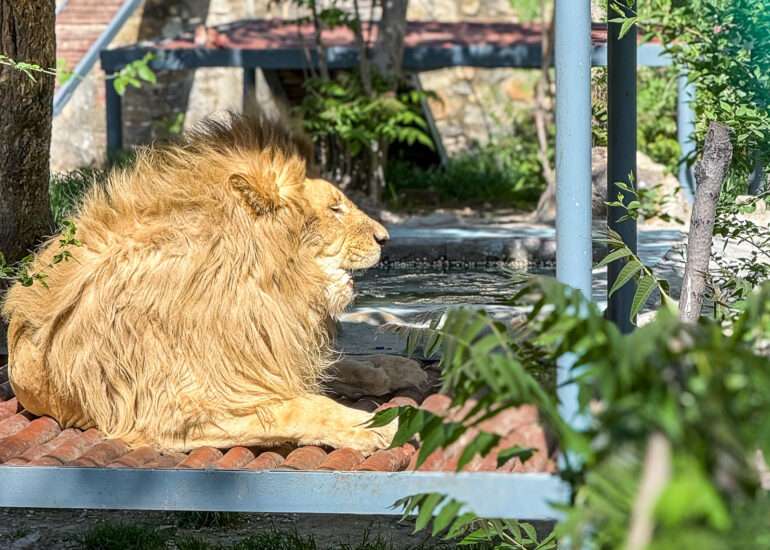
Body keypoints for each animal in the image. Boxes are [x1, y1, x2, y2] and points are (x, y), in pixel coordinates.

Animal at [2, 112, 401, 454]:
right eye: (335, 209)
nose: (385, 237)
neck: (265, 288)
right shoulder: (173, 412)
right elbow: (302, 407)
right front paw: (377, 426)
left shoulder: (269, 352)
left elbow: (333, 371)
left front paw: (390, 369)